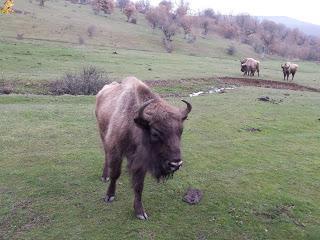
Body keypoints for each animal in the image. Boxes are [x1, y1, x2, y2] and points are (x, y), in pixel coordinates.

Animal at [94, 76, 190, 219]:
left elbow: (139, 185)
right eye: (155, 133)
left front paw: (140, 212)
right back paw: (104, 176)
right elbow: (115, 174)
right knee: (106, 156)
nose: (175, 164)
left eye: (181, 131)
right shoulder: (116, 150)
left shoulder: (141, 160)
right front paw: (109, 196)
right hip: (103, 135)